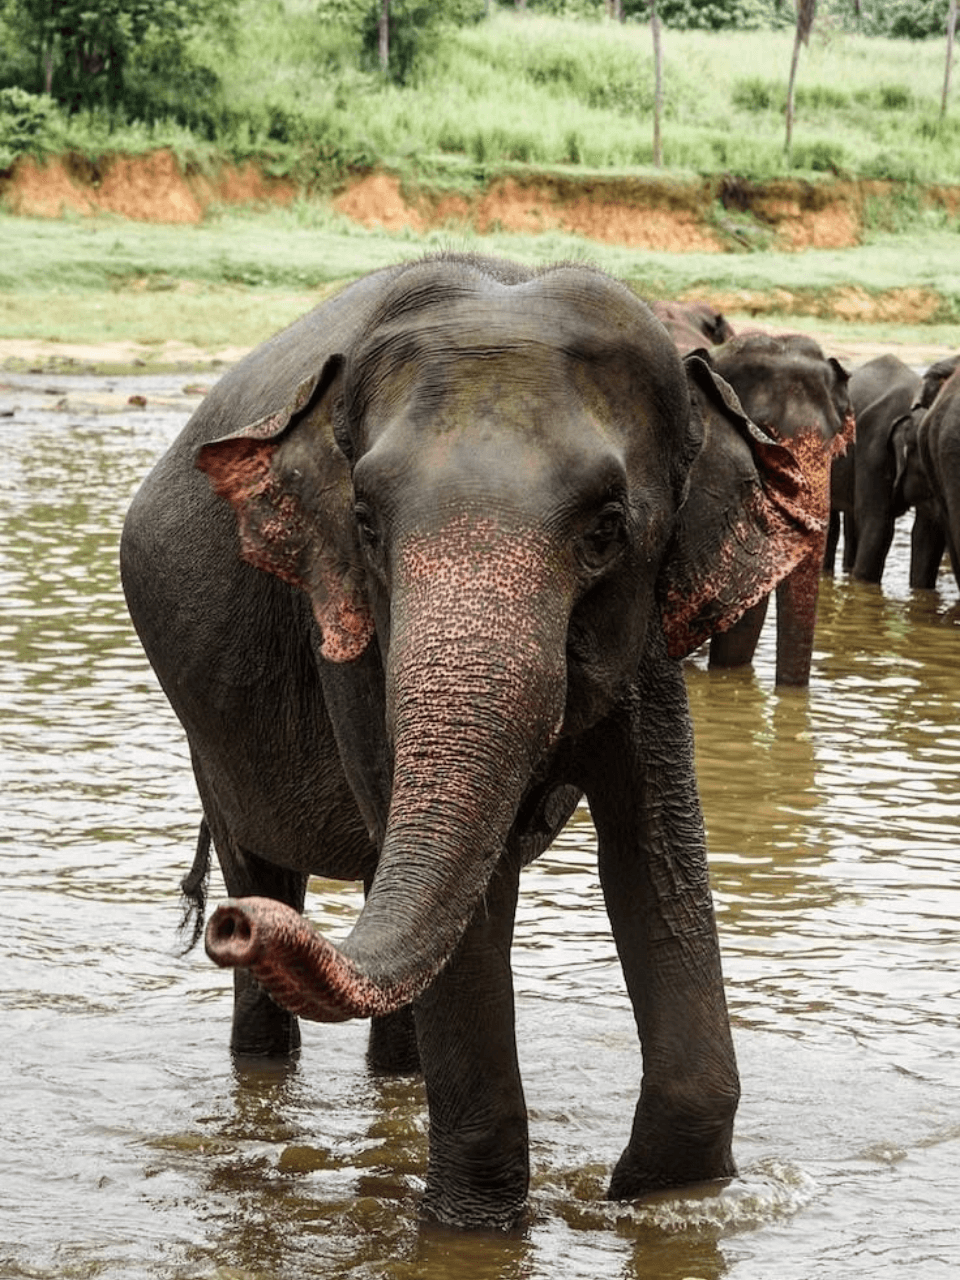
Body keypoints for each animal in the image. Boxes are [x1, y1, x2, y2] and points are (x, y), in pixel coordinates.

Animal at [120, 254, 829, 1231]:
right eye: (366, 523)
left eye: (609, 529)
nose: (234, 928)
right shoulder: (344, 628)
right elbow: (476, 899)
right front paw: (471, 1233)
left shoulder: (647, 629)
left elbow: (652, 851)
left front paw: (661, 1200)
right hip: (208, 740)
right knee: (266, 865)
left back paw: (391, 1070)